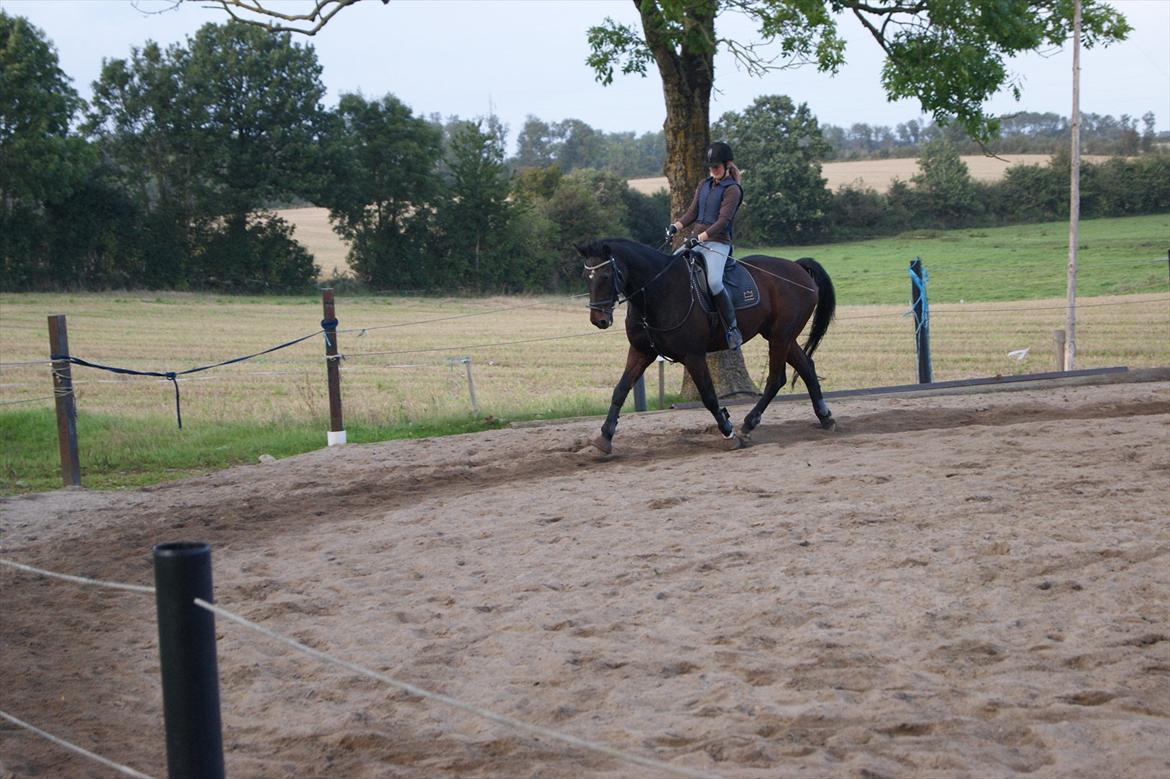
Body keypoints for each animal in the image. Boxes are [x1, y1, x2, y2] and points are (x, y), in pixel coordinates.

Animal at [580, 239, 837, 451]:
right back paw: (825, 417)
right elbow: (620, 390)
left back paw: (748, 424)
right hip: (781, 337)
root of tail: (797, 267)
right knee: (806, 367)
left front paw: (729, 432)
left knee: (776, 379)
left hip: (780, 337)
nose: (598, 320)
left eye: (605, 275)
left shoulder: (693, 356)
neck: (657, 291)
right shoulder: (641, 352)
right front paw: (604, 437)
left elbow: (709, 396)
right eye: (586, 276)